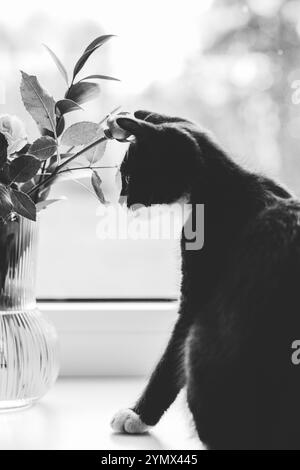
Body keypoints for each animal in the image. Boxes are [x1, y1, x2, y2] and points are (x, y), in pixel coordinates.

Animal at [109, 108, 300, 450]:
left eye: (128, 177)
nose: (120, 202)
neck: (220, 185)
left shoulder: (200, 286)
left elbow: (170, 358)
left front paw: (137, 415)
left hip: (201, 342)